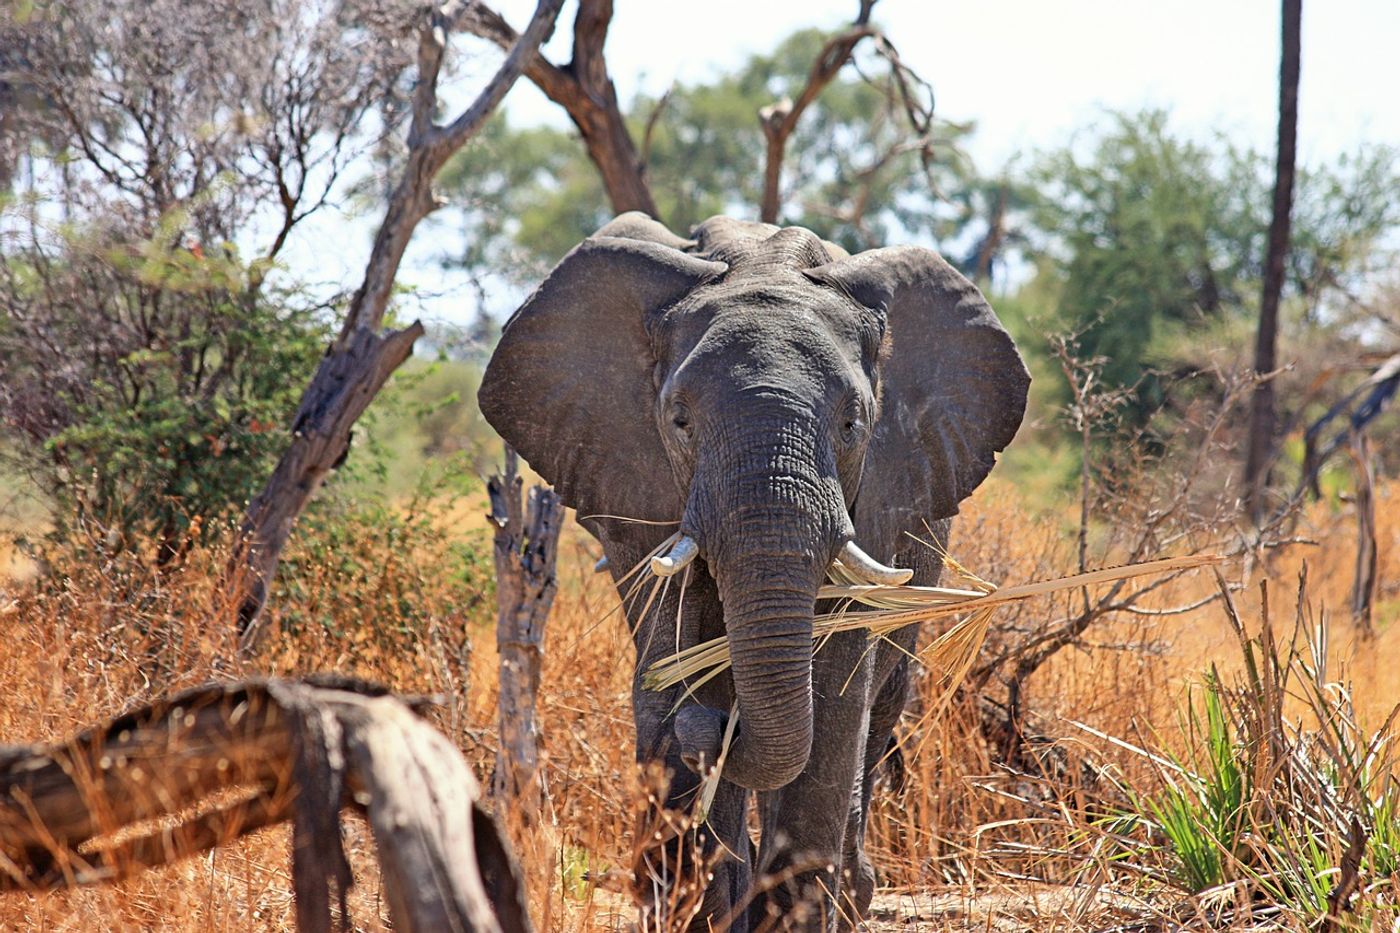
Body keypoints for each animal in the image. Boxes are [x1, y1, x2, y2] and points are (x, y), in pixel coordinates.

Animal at [478, 214, 1030, 924]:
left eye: (852, 424)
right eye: (680, 420)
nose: (718, 728)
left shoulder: (879, 493)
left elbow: (835, 692)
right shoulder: (640, 485)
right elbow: (673, 655)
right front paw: (698, 903)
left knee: (880, 707)